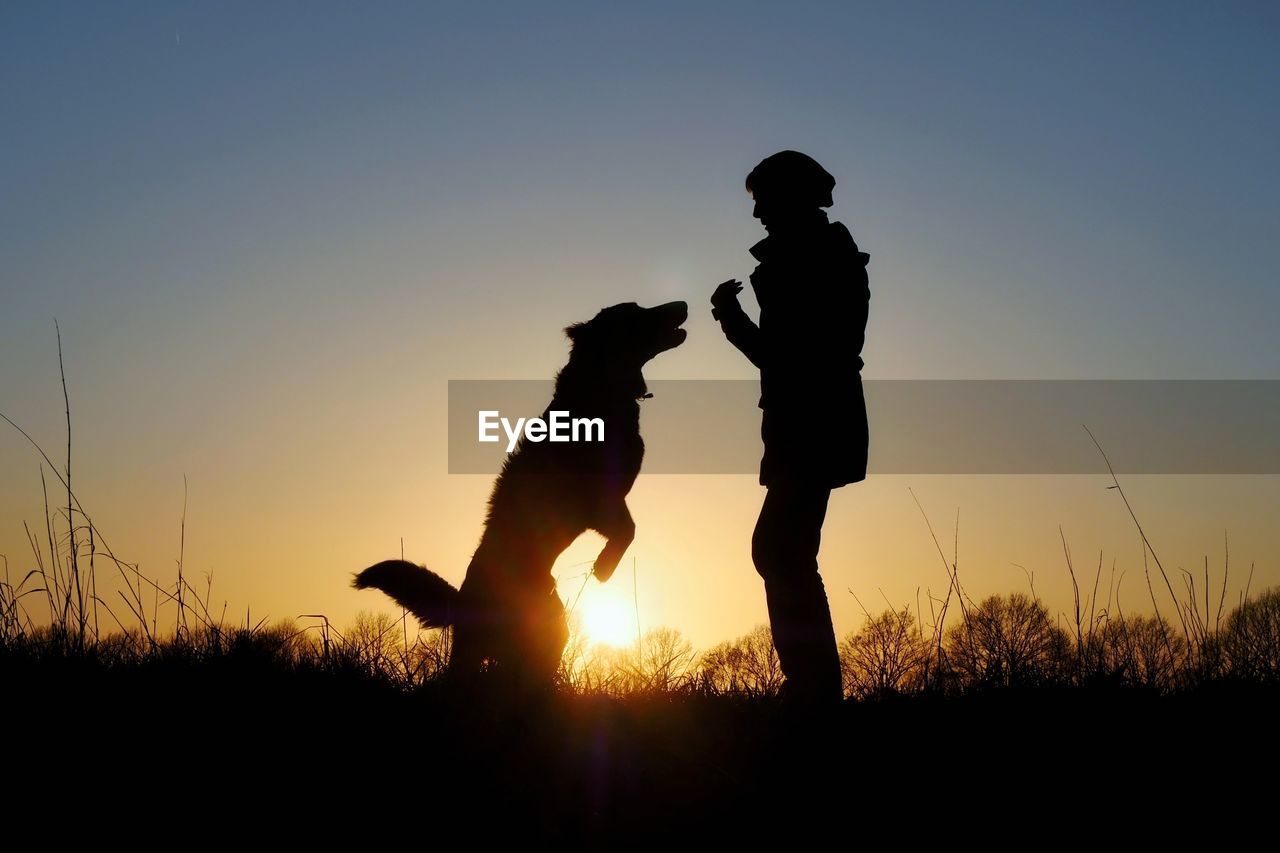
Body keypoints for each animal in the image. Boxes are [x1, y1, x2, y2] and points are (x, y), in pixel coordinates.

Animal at [350, 298, 691, 691]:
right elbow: (628, 530)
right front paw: (604, 568)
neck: (598, 388)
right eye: (635, 312)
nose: (682, 304)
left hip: (540, 631)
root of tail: (463, 599)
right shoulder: (598, 502)